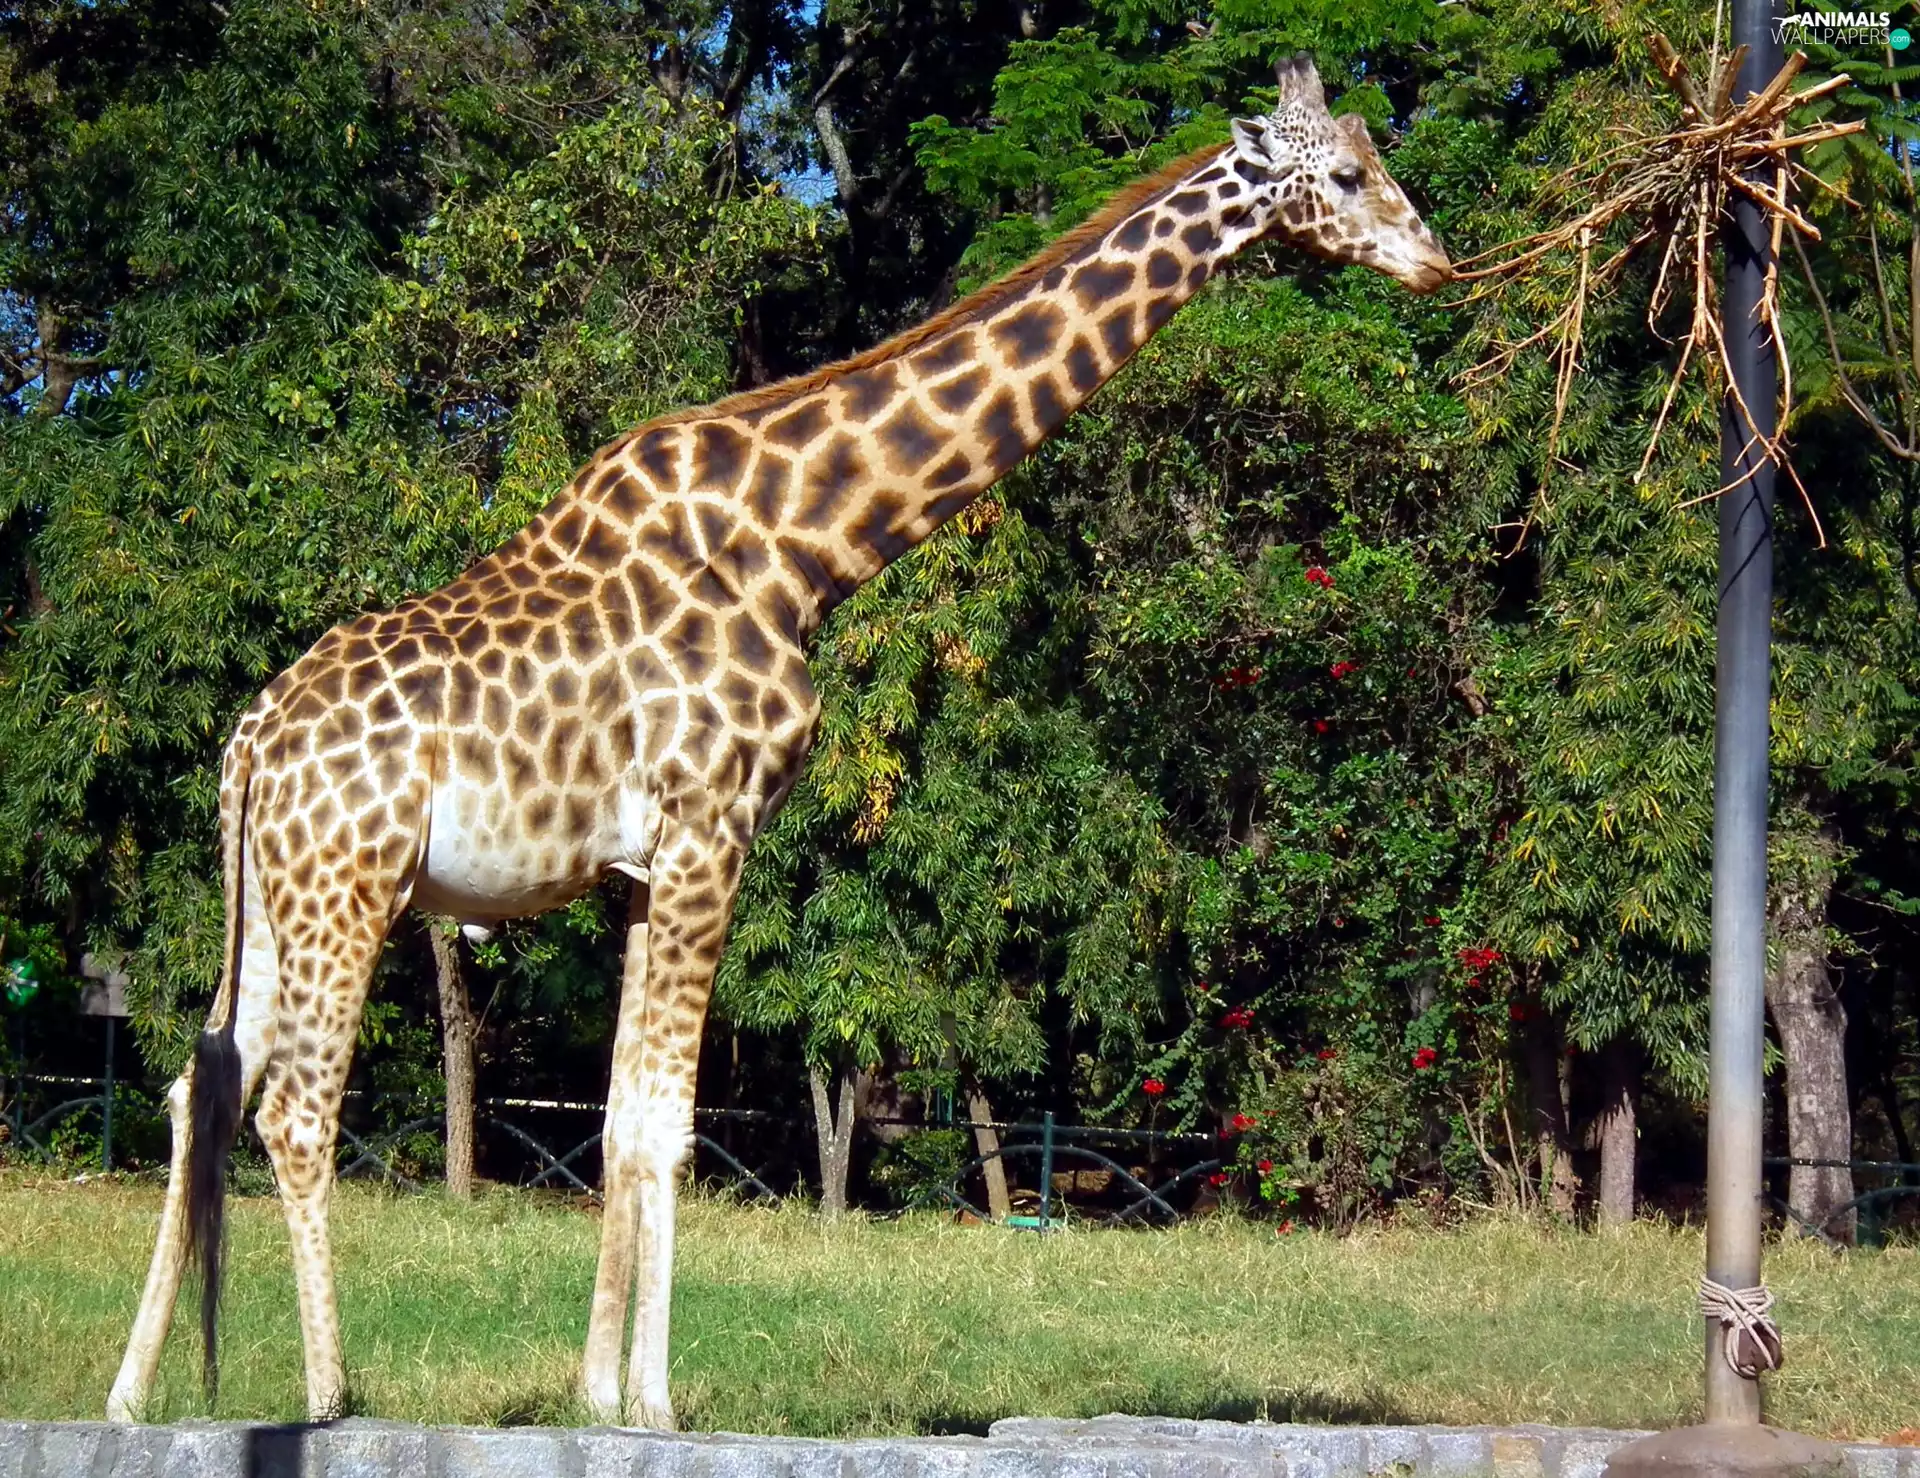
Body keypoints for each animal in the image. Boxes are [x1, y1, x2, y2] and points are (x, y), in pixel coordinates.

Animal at [107, 57, 1448, 1428]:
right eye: (1349, 176)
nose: (1434, 259)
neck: (807, 544)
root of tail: (249, 740)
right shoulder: (714, 827)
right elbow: (667, 1123)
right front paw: (656, 1403)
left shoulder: (641, 869)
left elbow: (618, 1119)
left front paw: (600, 1395)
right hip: (354, 882)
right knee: (294, 1108)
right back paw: (327, 1390)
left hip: (273, 891)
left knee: (199, 1084)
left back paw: (131, 1391)